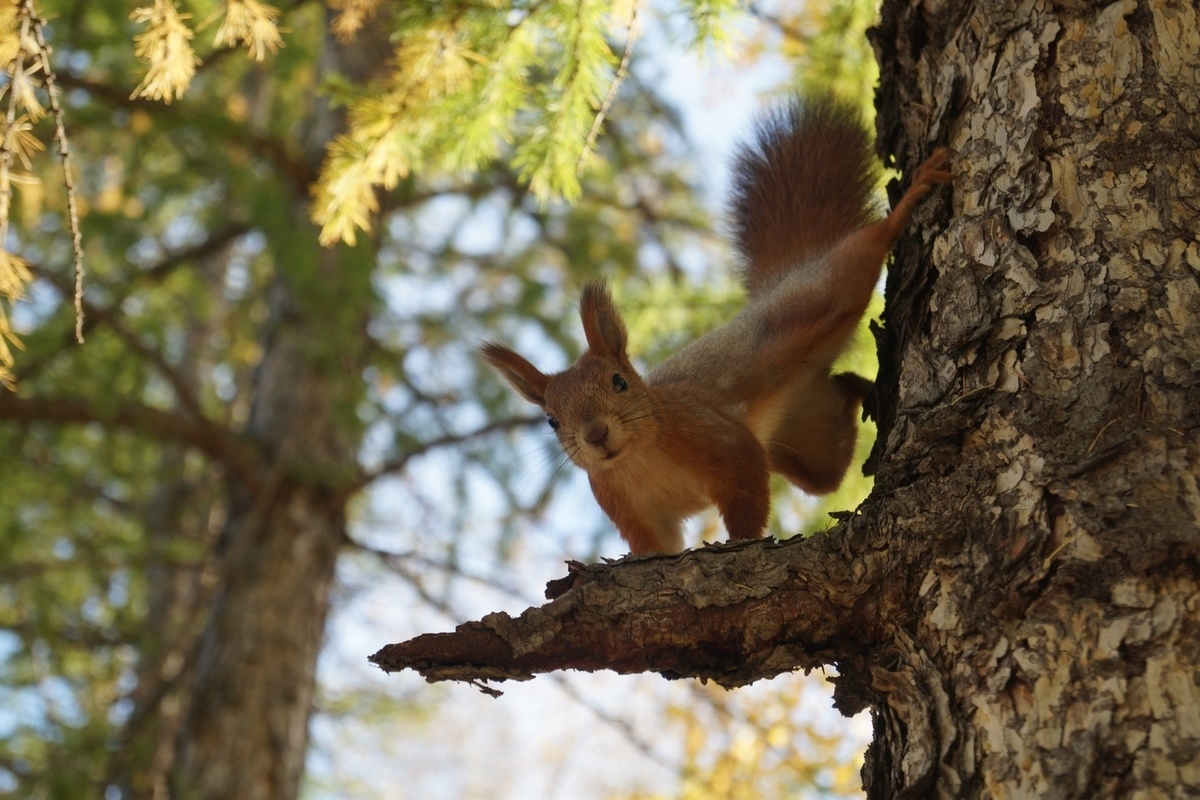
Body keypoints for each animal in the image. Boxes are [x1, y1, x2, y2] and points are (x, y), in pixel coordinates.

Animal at [477, 97, 945, 554]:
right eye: (552, 420)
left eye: (619, 382)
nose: (595, 434)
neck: (638, 459)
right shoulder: (630, 510)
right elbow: (655, 548)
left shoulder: (719, 440)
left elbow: (746, 488)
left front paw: (741, 544)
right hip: (813, 444)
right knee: (837, 418)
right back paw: (861, 391)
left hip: (822, 293)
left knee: (862, 252)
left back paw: (912, 196)